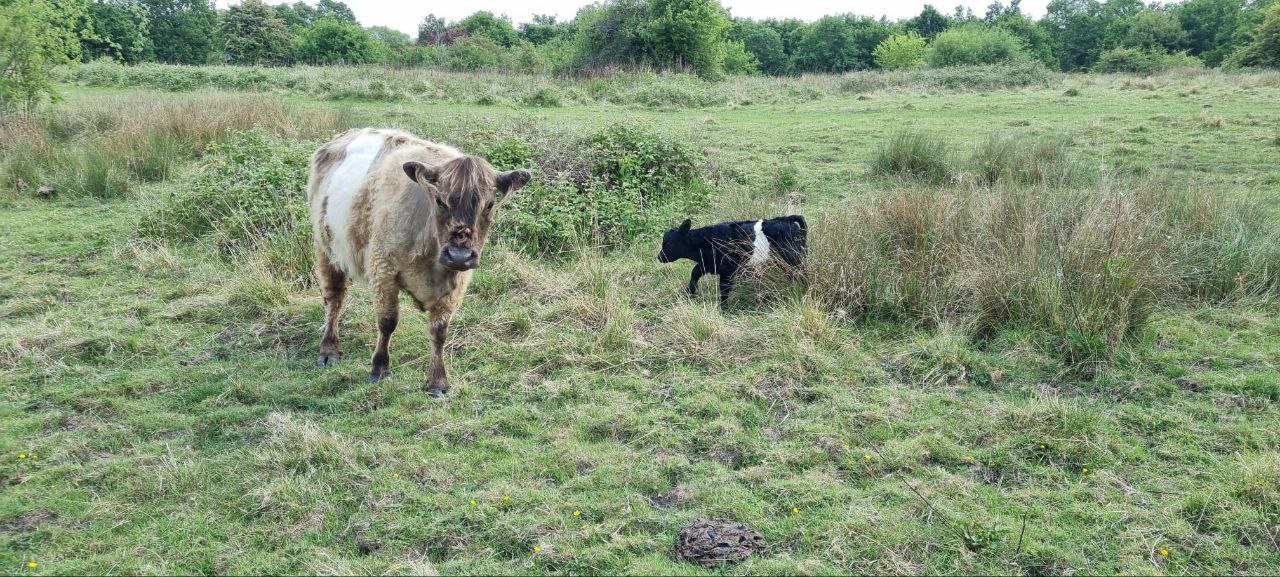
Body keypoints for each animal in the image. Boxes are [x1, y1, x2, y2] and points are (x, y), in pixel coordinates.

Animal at [307, 128, 530, 397]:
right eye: (440, 201)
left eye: (489, 204)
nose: (459, 255)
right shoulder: (383, 270)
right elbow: (387, 322)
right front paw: (379, 368)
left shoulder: (457, 284)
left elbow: (439, 332)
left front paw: (437, 382)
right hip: (325, 247)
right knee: (334, 298)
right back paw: (328, 349)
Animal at [657, 215, 808, 307]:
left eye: (668, 243)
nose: (659, 257)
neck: (706, 241)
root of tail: (786, 220)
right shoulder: (707, 264)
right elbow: (694, 274)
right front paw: (691, 293)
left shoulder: (727, 270)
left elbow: (724, 290)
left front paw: (723, 309)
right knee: (793, 274)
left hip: (792, 256)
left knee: (802, 272)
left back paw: (805, 290)